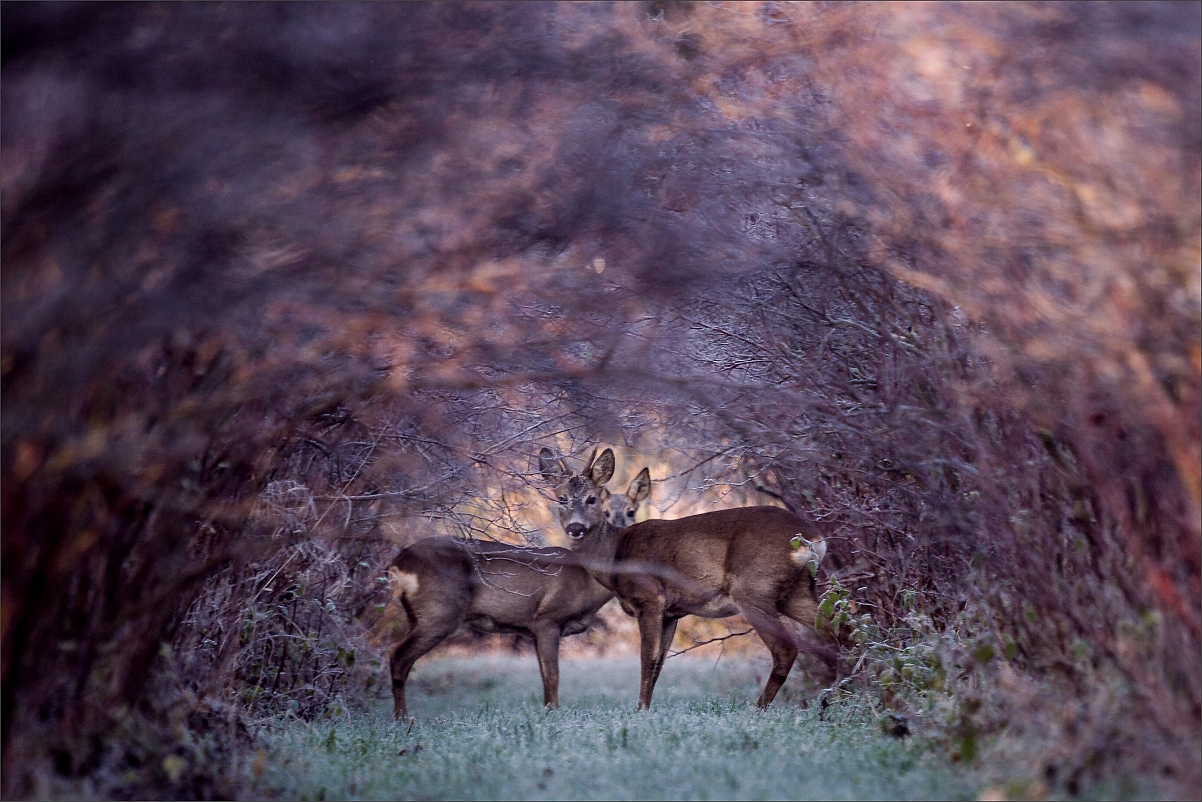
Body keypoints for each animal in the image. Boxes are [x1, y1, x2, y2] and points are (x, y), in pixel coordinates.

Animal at [382, 449, 649, 726]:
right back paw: (402, 720)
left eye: (591, 498)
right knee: (398, 657)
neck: (585, 581)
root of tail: (398, 564)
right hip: (439, 611)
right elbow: (553, 677)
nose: (576, 527)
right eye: (562, 498)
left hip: (419, 614)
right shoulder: (547, 618)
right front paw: (553, 716)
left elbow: (544, 679)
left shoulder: (532, 629)